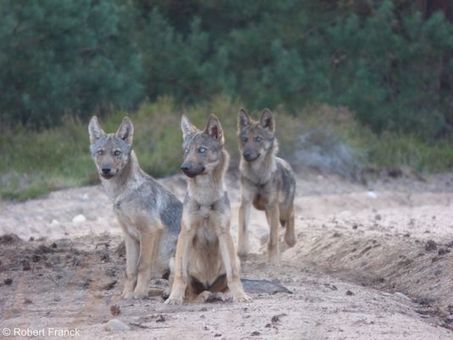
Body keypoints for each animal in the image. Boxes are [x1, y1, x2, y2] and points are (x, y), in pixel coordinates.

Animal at [87, 118, 181, 298]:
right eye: (101, 152)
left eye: (116, 153)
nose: (105, 169)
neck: (122, 193)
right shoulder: (129, 236)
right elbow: (130, 270)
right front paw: (126, 295)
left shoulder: (149, 230)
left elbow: (142, 265)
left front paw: (138, 293)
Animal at [165, 115, 251, 306]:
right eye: (187, 150)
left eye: (201, 150)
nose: (184, 167)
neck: (205, 196)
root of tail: (206, 284)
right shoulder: (186, 232)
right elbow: (181, 277)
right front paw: (174, 298)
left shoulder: (224, 232)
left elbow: (233, 275)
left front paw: (240, 296)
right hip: (174, 260)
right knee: (191, 293)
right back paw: (200, 296)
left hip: (237, 259)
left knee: (220, 285)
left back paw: (221, 295)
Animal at [237, 107, 296, 264]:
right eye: (245, 139)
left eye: (258, 139)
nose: (246, 154)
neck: (258, 176)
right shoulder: (245, 203)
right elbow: (243, 231)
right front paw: (242, 254)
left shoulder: (272, 205)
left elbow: (273, 239)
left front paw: (273, 260)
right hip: (269, 211)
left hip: (282, 208)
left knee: (291, 215)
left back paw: (291, 240)